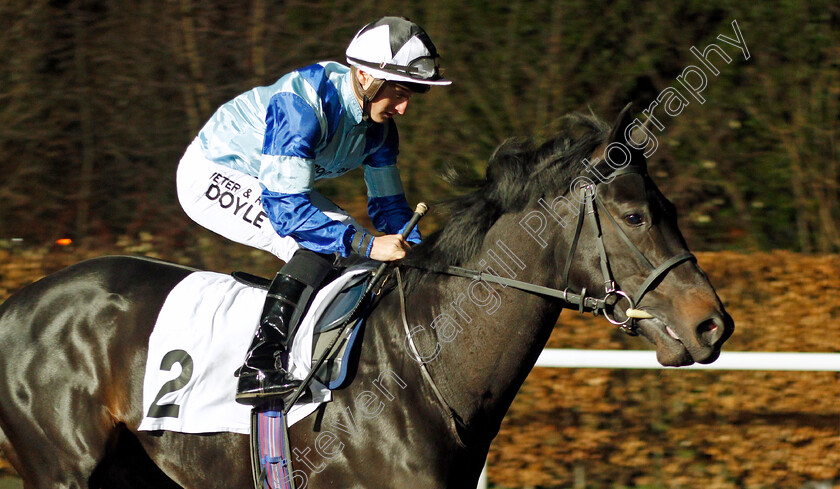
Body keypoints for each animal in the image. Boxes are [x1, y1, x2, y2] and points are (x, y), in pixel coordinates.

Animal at [0, 107, 728, 488]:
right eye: (635, 216)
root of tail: (18, 303)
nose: (713, 325)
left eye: (670, 209)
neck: (425, 365)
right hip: (62, 466)